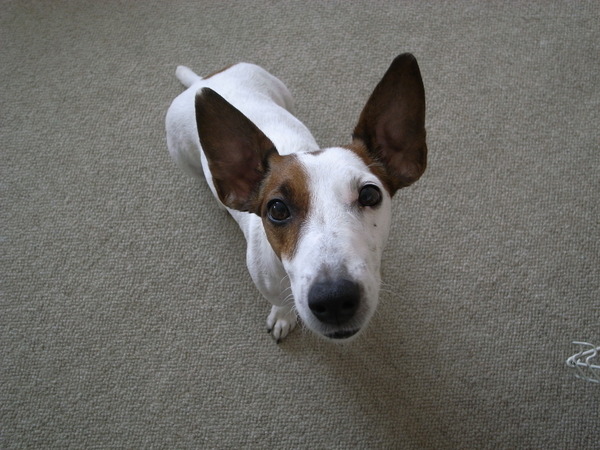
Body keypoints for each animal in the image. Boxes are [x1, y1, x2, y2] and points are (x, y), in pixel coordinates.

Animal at [165, 53, 427, 342]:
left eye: (369, 194)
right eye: (277, 209)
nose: (334, 299)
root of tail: (201, 81)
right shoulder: (268, 283)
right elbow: (281, 301)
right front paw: (283, 315)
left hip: (282, 92)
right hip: (181, 156)